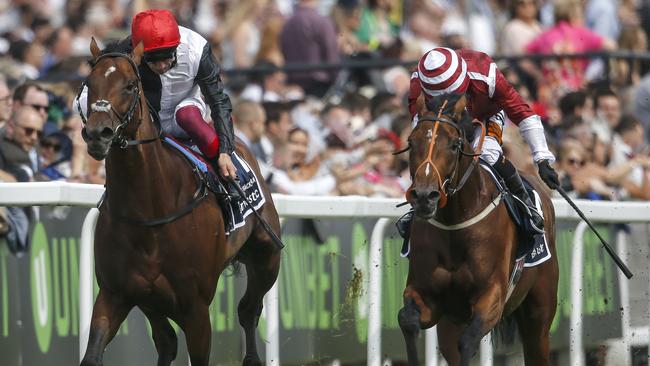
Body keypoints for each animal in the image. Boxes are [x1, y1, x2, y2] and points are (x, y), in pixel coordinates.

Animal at [79, 38, 280, 364]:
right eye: (88, 84)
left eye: (130, 85)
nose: (98, 133)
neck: (149, 211)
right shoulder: (116, 292)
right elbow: (93, 353)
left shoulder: (196, 307)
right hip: (150, 299)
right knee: (167, 340)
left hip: (267, 258)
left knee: (248, 310)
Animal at [398, 95, 560, 366]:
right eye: (411, 142)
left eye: (454, 145)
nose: (424, 196)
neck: (454, 225)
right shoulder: (428, 297)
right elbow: (407, 320)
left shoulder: (492, 296)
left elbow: (469, 340)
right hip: (450, 323)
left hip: (539, 311)